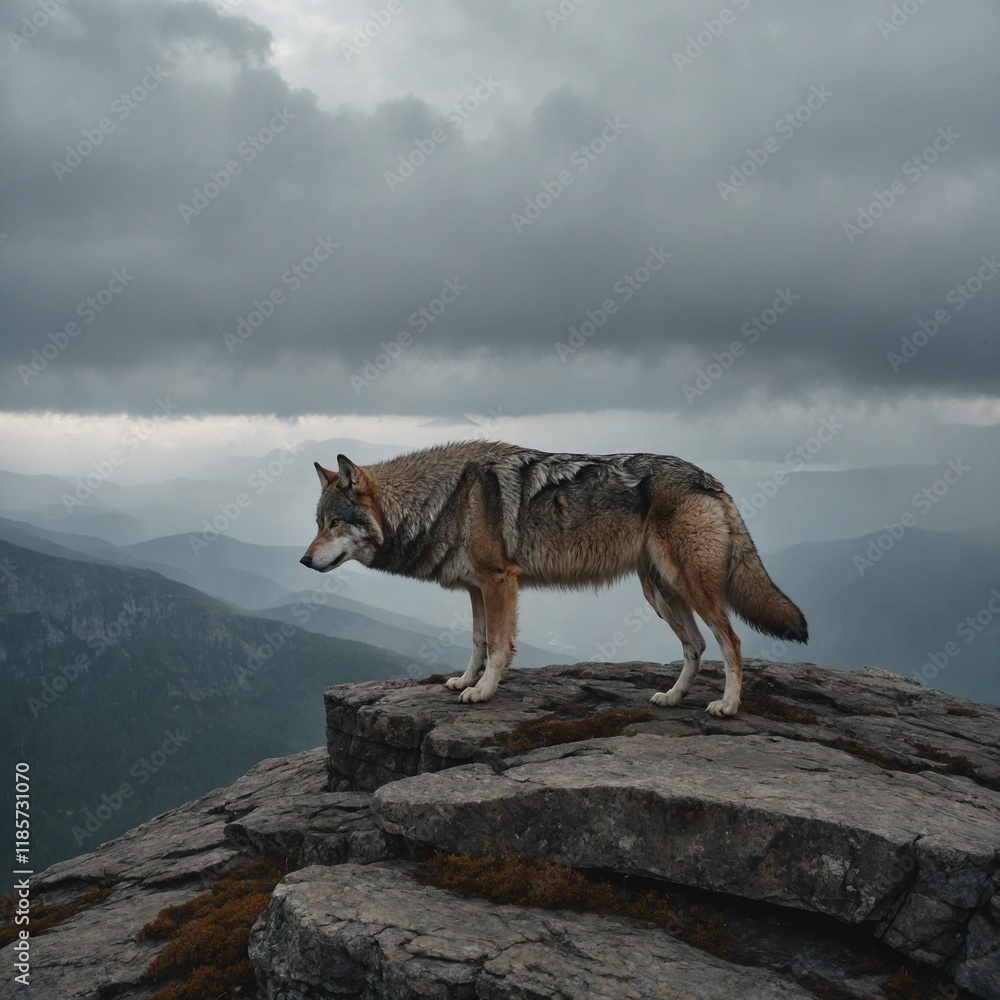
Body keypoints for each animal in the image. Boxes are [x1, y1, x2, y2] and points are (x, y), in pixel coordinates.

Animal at [300, 441, 807, 716]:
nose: (304, 561)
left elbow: (499, 646)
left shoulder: (500, 581)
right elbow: (477, 642)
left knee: (731, 642)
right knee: (696, 645)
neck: (444, 499)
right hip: (660, 593)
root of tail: (710, 479)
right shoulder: (477, 588)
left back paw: (728, 706)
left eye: (335, 523)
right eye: (318, 523)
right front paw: (464, 681)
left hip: (690, 588)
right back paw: (672, 697)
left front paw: (483, 692)